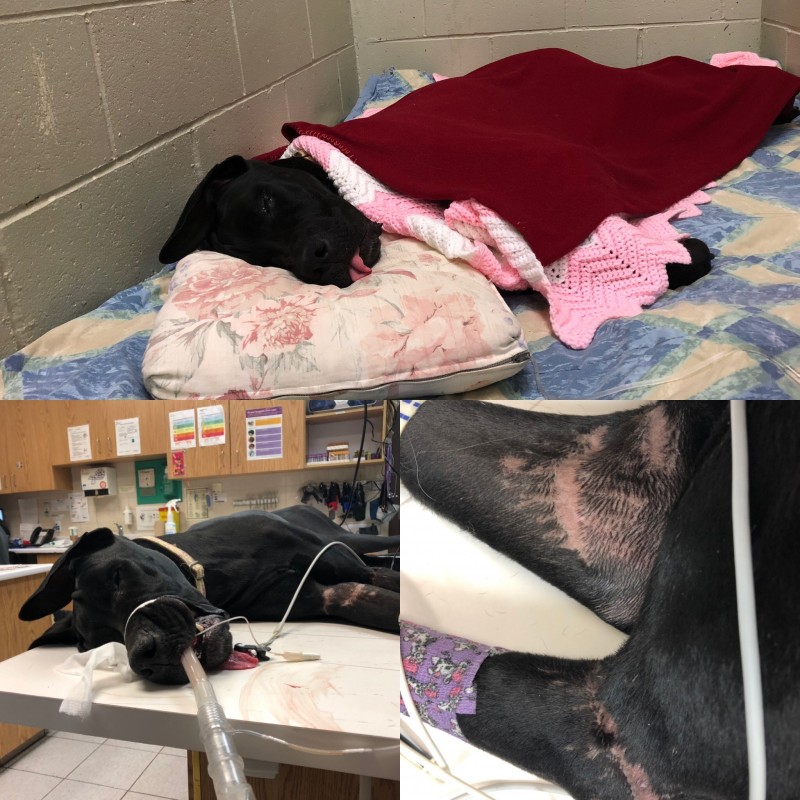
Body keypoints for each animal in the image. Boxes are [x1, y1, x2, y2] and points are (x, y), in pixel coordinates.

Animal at [19, 505, 399, 685]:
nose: (146, 656)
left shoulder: (343, 567)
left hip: (350, 540)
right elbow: (370, 600)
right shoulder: (326, 596)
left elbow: (386, 586)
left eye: (117, 576)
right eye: (100, 644)